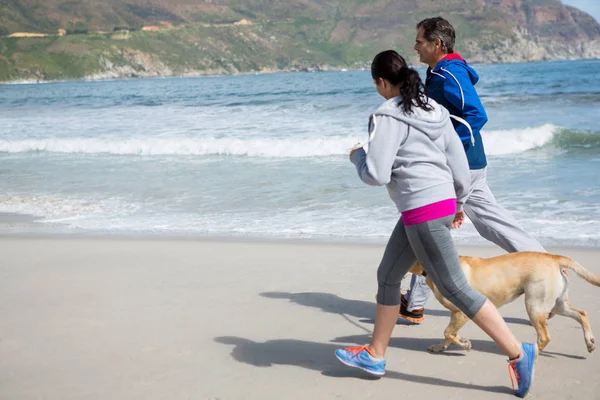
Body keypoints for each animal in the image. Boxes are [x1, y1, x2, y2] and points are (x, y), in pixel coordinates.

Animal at [410, 253, 596, 354]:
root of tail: (553, 257)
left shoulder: (461, 312)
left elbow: (448, 332)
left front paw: (463, 344)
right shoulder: (456, 314)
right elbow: (450, 334)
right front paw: (442, 346)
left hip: (534, 305)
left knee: (544, 337)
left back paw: (531, 353)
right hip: (556, 304)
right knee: (582, 313)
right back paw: (589, 341)